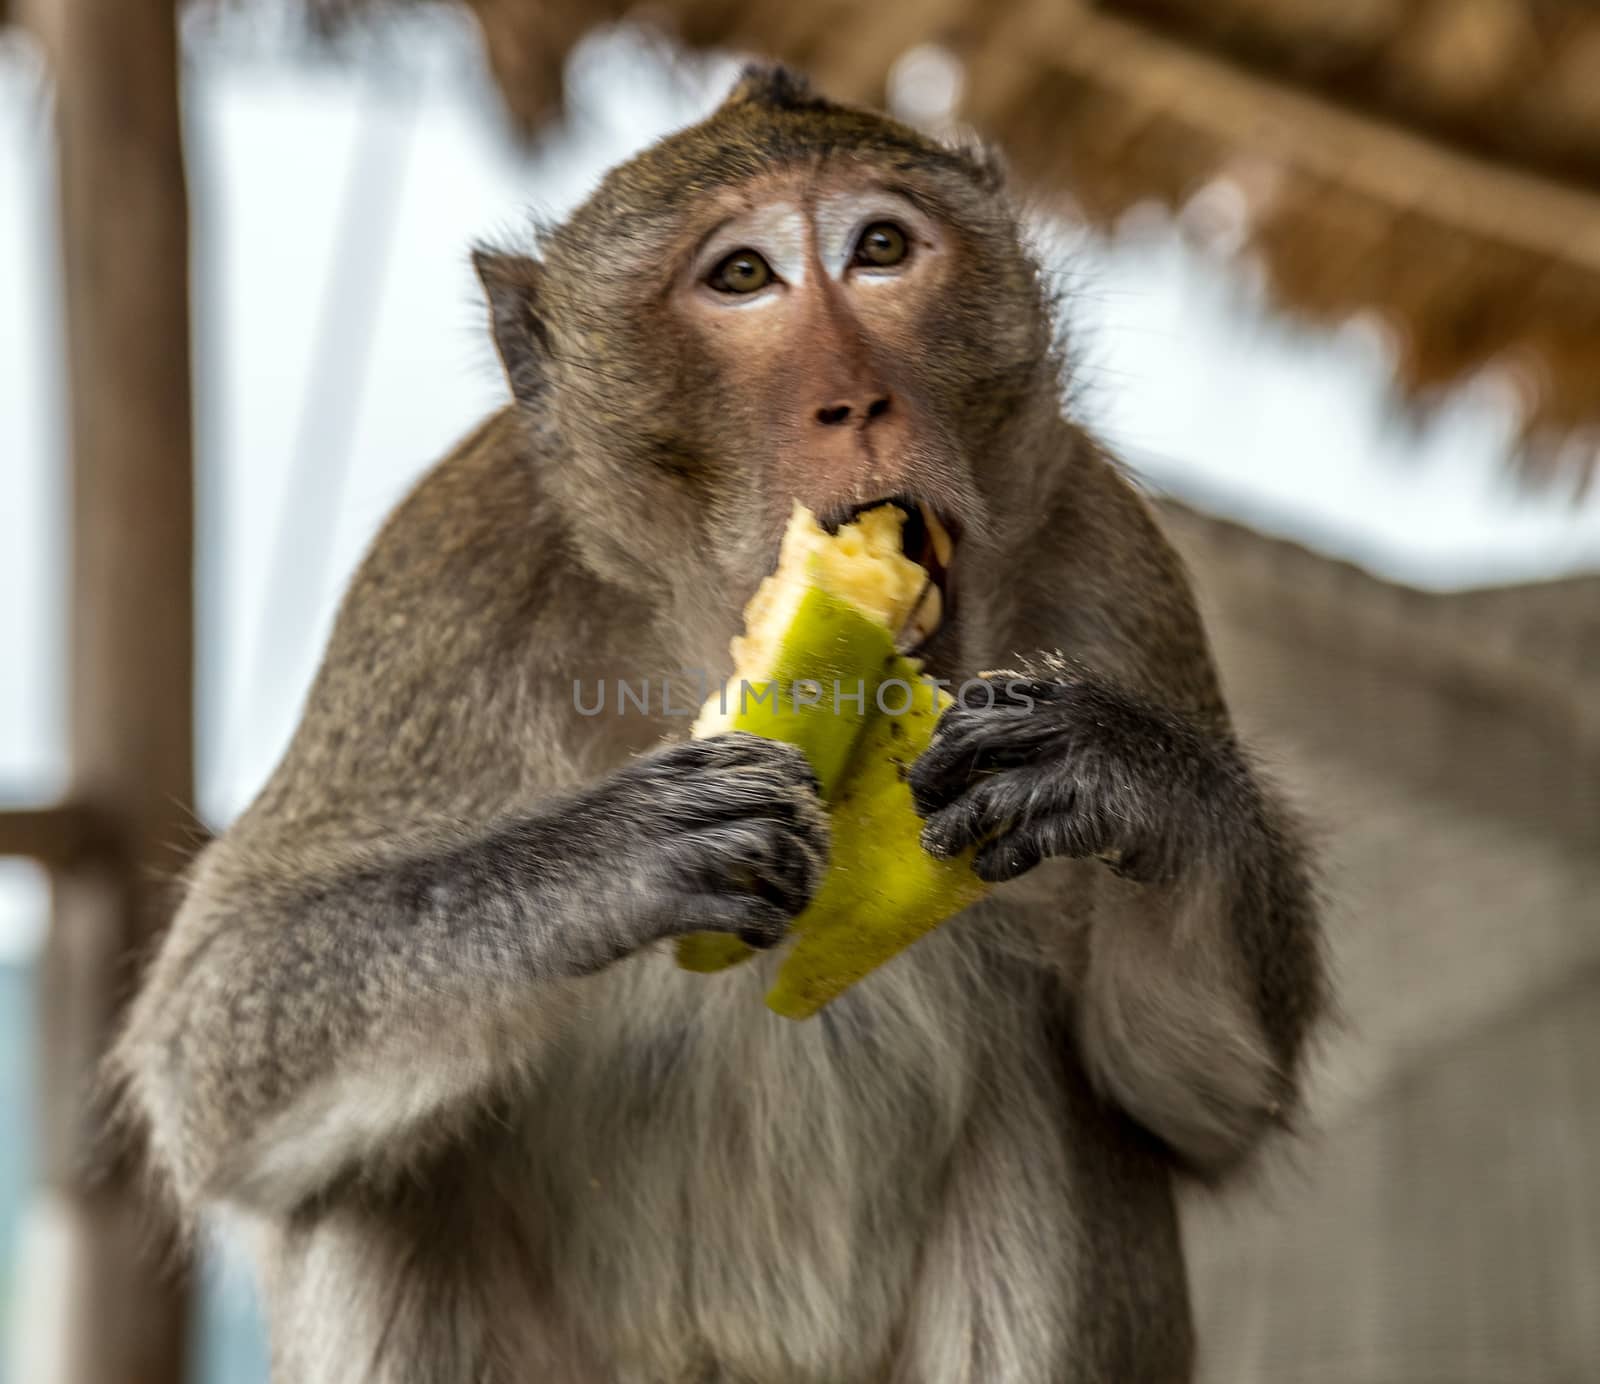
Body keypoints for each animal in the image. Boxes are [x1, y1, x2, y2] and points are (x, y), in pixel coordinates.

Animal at [112, 64, 1324, 1382]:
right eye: (742, 277)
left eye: (881, 249)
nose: (858, 398)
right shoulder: (447, 581)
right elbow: (216, 1032)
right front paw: (598, 861)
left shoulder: (1112, 553)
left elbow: (1199, 1088)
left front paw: (1129, 777)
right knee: (361, 1179)